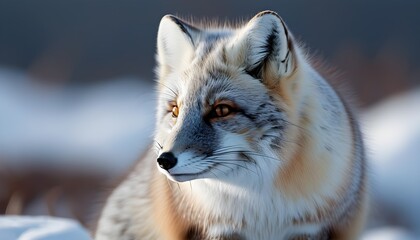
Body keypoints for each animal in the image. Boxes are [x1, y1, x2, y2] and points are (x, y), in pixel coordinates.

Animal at [95, 10, 368, 240]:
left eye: (221, 110)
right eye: (175, 110)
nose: (164, 160)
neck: (262, 207)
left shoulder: (311, 227)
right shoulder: (213, 229)